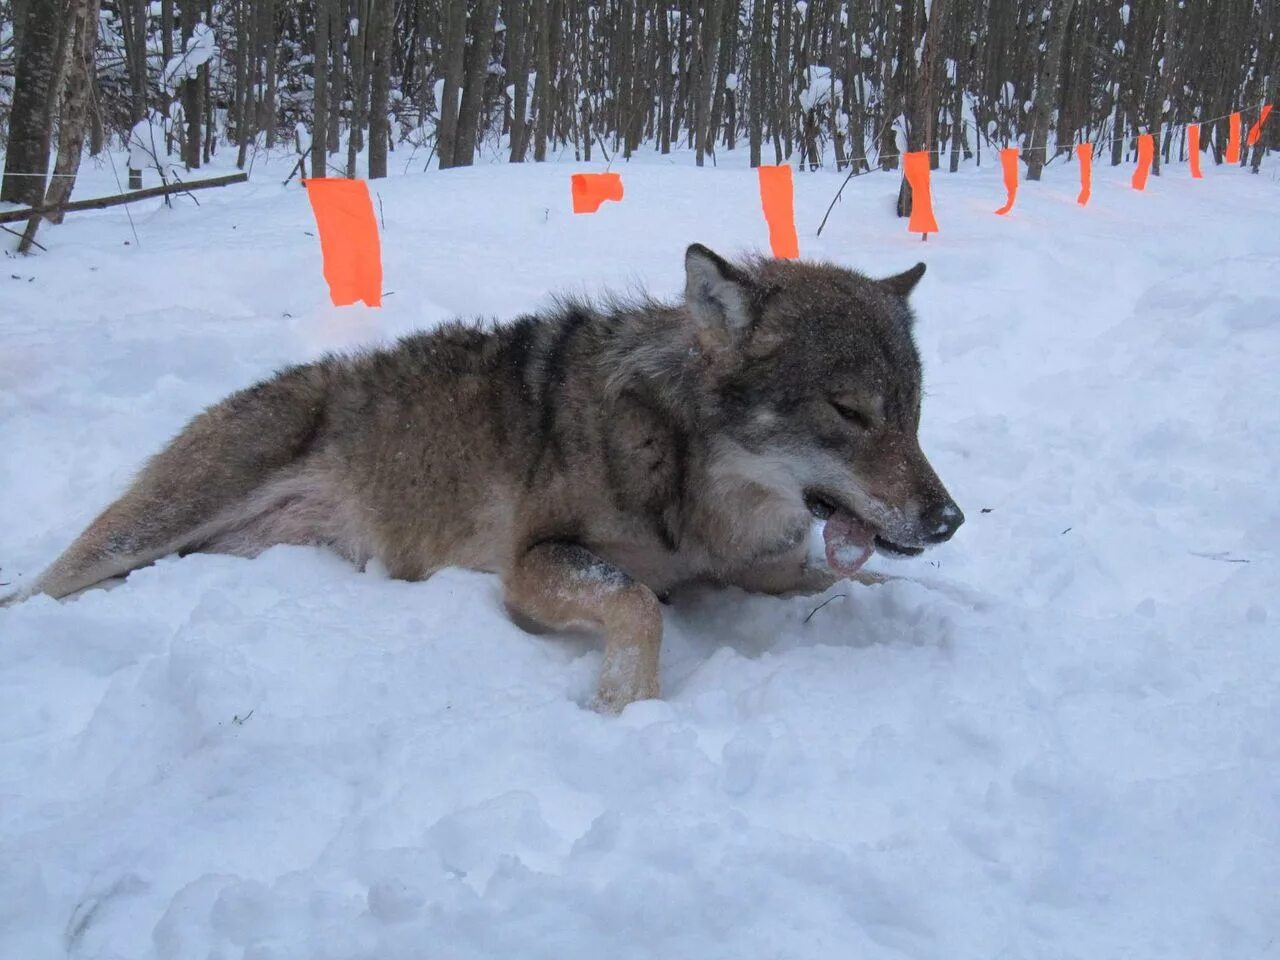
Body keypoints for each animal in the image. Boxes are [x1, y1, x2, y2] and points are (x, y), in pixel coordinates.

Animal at [7, 245, 962, 716]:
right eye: (850, 411)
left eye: (914, 413)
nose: (948, 520)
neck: (687, 473)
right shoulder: (530, 568)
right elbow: (639, 605)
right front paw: (624, 709)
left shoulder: (766, 571)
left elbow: (880, 582)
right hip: (143, 531)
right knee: (38, 587)